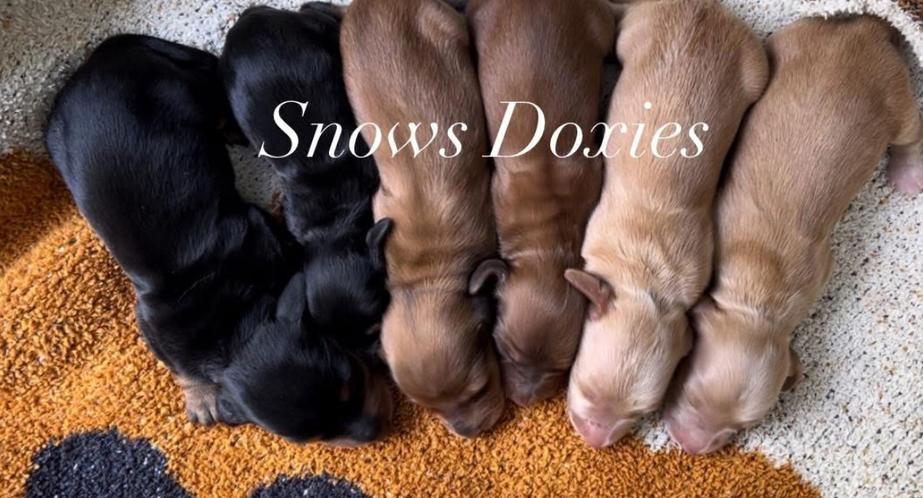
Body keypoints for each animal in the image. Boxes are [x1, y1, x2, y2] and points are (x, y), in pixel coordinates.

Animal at [46, 34, 389, 444]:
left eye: (348, 383)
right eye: (316, 439)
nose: (372, 432)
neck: (234, 330)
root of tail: (102, 55)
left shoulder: (257, 229)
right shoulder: (154, 323)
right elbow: (181, 367)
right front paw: (201, 397)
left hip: (184, 86)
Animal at [563, 0, 768, 448]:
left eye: (641, 413)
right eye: (585, 390)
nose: (594, 442)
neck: (645, 280)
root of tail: (705, 8)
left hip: (753, 69)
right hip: (636, 32)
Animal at [663, 15, 923, 455]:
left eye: (742, 425)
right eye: (692, 395)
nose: (691, 446)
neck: (757, 296)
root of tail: (864, 30)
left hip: (895, 99)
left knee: (913, 135)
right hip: (810, 53)